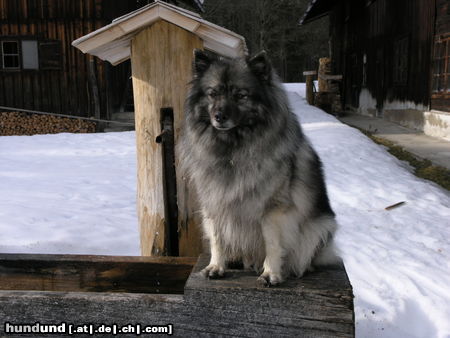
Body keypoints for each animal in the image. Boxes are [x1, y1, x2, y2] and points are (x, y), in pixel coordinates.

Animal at [179, 50, 338, 286]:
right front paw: (216, 266)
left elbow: (272, 243)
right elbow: (217, 237)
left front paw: (271, 273)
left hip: (322, 226)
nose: (219, 116)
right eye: (212, 94)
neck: (232, 148)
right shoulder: (215, 201)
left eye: (240, 95)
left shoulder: (272, 209)